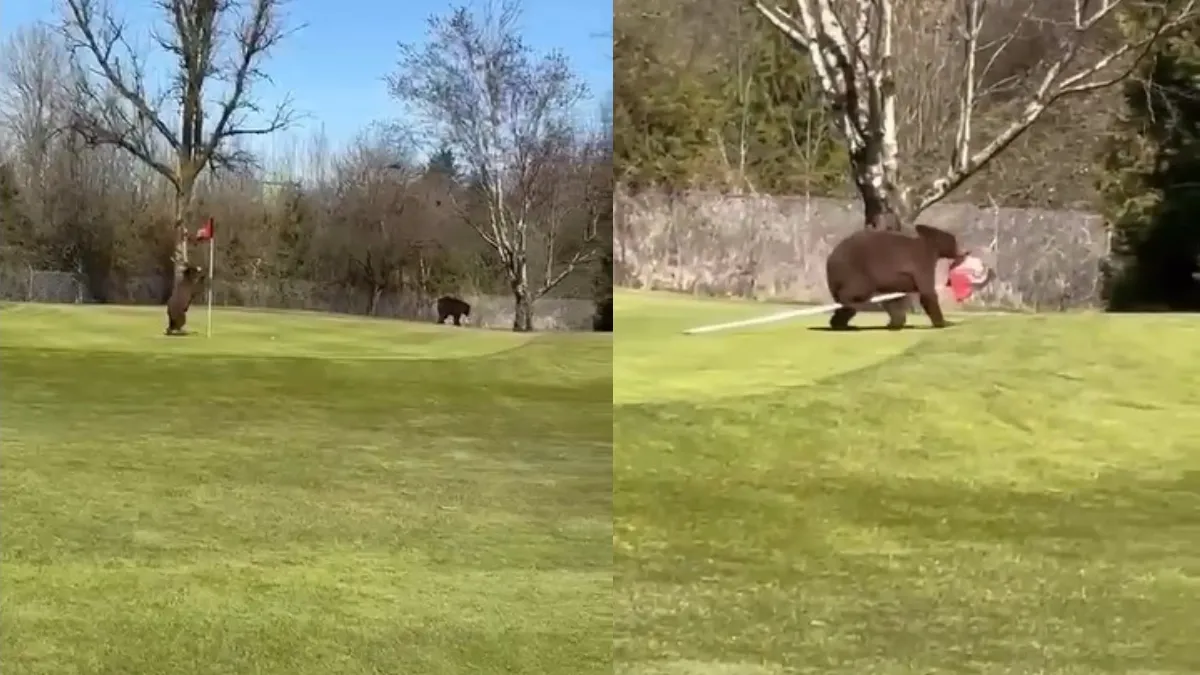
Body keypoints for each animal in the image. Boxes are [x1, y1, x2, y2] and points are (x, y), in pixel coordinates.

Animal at [824, 223, 968, 331]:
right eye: (954, 241)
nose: (965, 251)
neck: (933, 248)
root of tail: (830, 258)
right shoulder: (921, 263)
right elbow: (927, 292)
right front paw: (945, 322)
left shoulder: (893, 279)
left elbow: (893, 298)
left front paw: (895, 322)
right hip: (855, 270)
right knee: (856, 292)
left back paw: (840, 323)